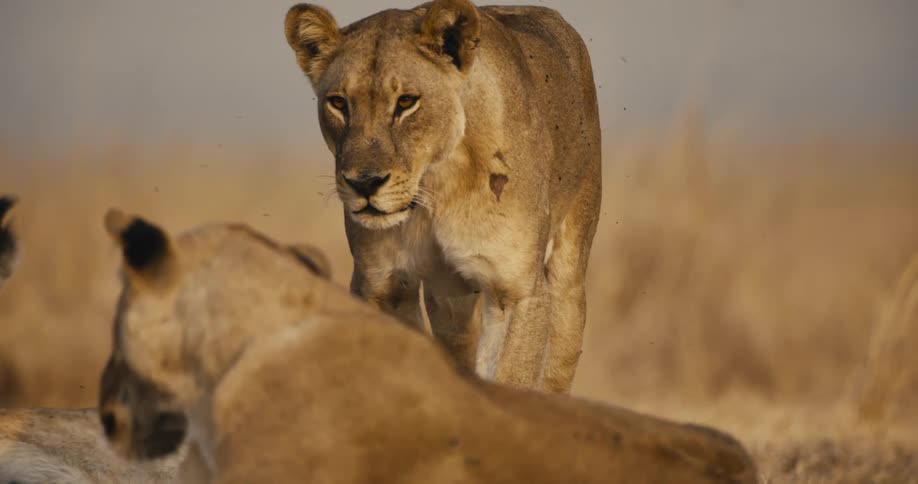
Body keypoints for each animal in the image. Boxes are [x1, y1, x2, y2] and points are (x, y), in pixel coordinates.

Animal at [284, 0, 602, 394]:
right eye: (339, 103)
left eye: (406, 102)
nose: (365, 183)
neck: (435, 185)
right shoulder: (380, 283)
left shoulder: (518, 289)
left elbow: (511, 378)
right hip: (450, 301)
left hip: (569, 272)